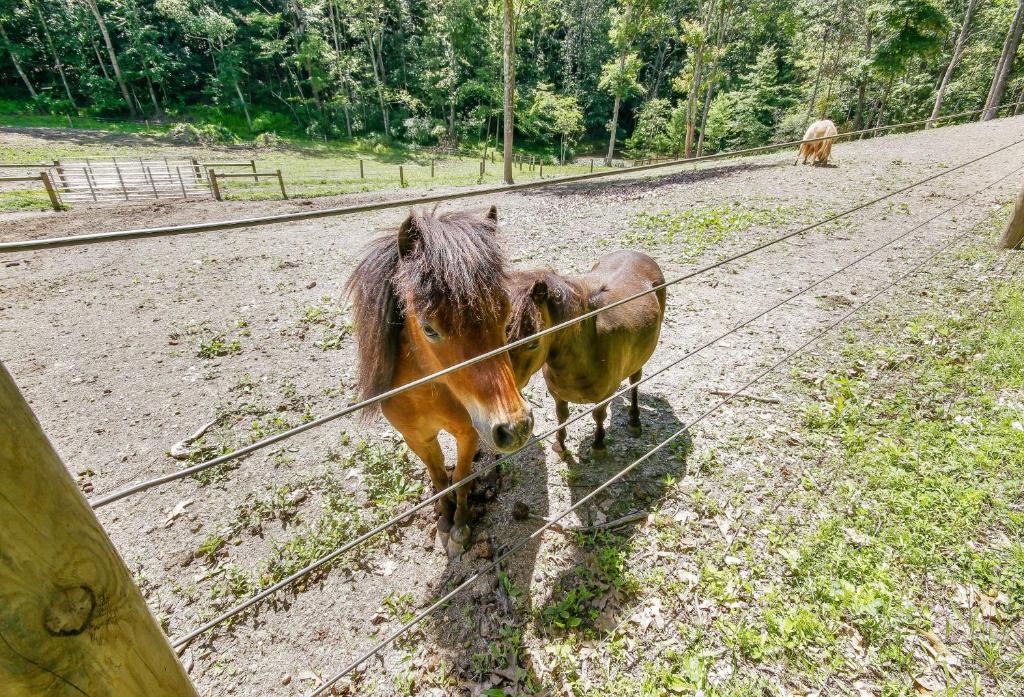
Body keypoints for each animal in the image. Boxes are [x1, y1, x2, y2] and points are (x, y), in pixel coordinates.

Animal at [346, 206, 532, 552]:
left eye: (505, 313)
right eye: (429, 329)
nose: (515, 428)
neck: (427, 396)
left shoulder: (469, 432)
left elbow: (459, 479)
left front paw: (460, 527)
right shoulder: (417, 438)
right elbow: (439, 479)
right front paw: (444, 519)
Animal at [507, 252, 667, 454]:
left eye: (533, 343)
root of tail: (637, 253)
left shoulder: (604, 396)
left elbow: (599, 416)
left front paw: (598, 446)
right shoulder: (557, 395)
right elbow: (561, 416)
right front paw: (560, 445)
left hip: (638, 361)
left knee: (634, 383)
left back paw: (634, 421)